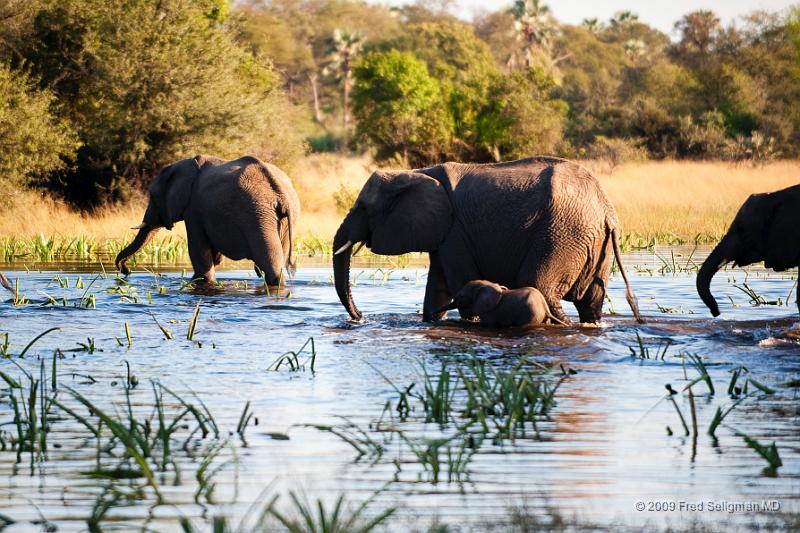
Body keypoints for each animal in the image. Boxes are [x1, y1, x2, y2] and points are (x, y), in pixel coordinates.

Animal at [114, 154, 298, 286]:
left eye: (152, 196)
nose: (125, 271)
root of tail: (280, 192)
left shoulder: (193, 209)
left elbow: (198, 250)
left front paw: (202, 281)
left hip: (257, 215)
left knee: (271, 264)